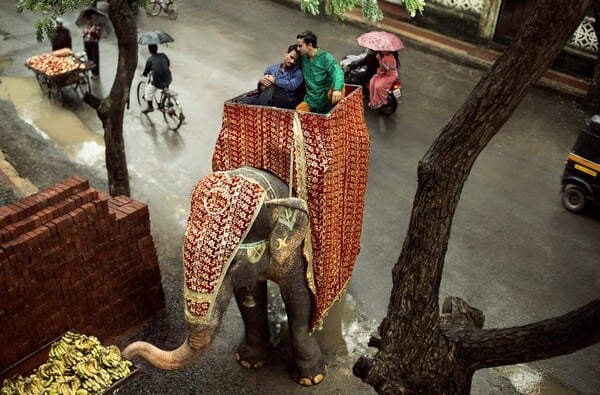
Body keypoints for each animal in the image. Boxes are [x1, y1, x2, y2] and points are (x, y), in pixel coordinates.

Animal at [122, 166, 326, 386]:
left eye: (233, 263)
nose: (126, 355)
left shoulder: (298, 252)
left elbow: (299, 300)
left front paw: (310, 379)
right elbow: (249, 299)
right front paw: (248, 362)